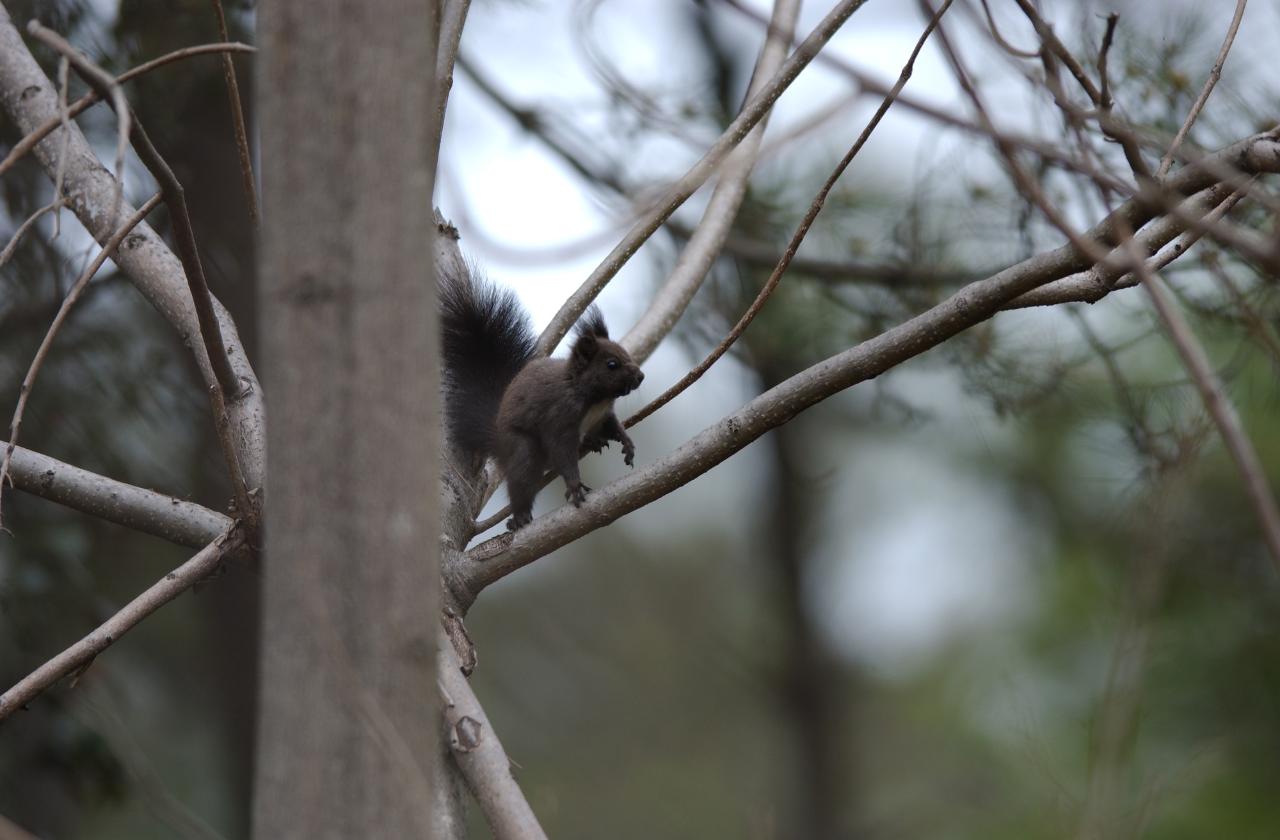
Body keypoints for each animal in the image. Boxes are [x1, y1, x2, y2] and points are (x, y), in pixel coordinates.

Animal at [440, 267, 645, 532]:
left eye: (626, 353)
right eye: (612, 364)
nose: (640, 376)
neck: (592, 396)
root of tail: (498, 440)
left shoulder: (604, 415)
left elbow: (614, 426)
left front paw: (627, 443)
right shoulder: (560, 418)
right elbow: (563, 453)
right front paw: (575, 487)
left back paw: (592, 442)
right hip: (523, 449)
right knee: (523, 478)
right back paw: (519, 517)